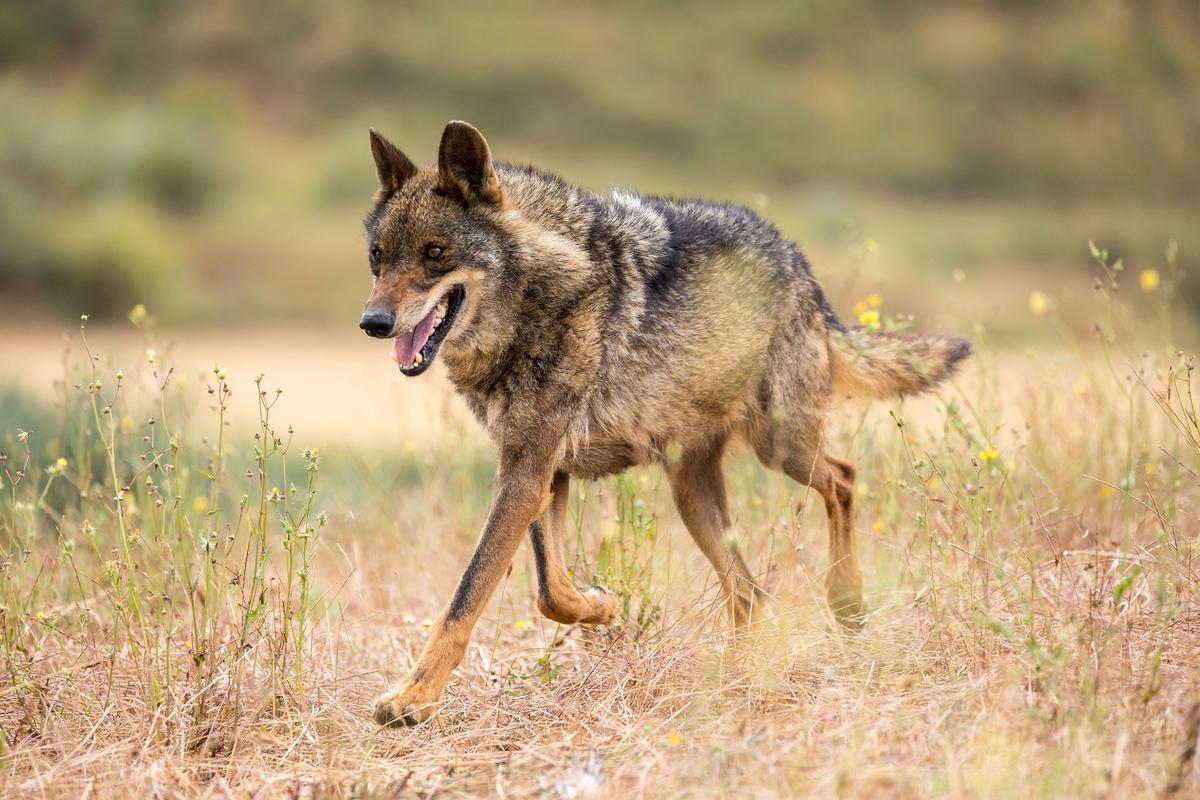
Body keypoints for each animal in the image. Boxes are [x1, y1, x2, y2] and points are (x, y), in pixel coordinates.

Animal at [359, 121, 969, 726]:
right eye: (378, 257)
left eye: (435, 253)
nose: (373, 322)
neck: (541, 296)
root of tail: (798, 261)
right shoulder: (538, 469)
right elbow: (551, 590)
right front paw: (602, 606)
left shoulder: (530, 473)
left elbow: (467, 595)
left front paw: (412, 698)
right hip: (695, 496)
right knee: (749, 590)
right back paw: (738, 677)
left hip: (780, 448)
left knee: (842, 479)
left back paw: (846, 602)